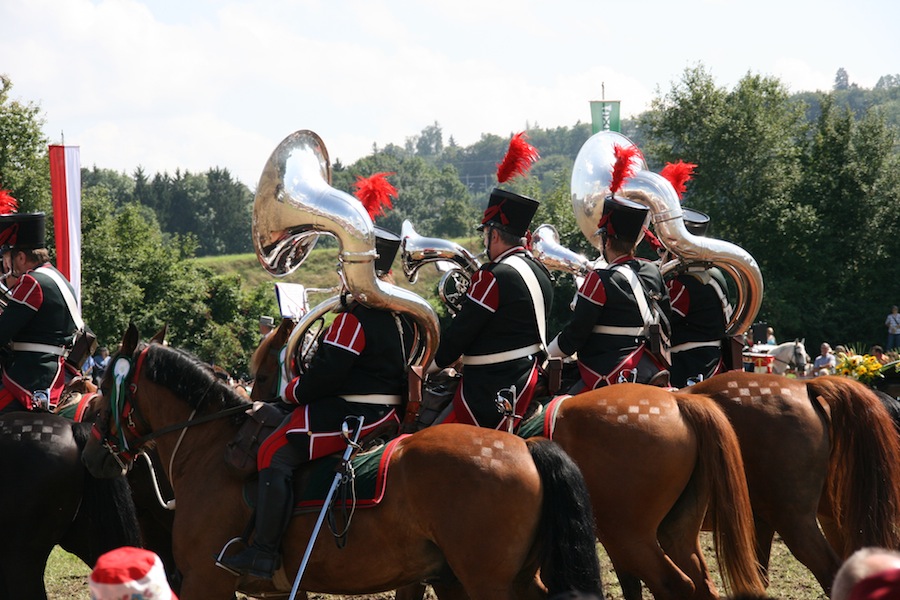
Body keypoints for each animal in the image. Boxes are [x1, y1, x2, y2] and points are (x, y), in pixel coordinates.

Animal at [82, 328, 604, 600]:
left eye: (105, 381)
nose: (90, 452)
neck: (210, 446)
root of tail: (525, 447)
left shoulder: (205, 583)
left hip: (487, 582)